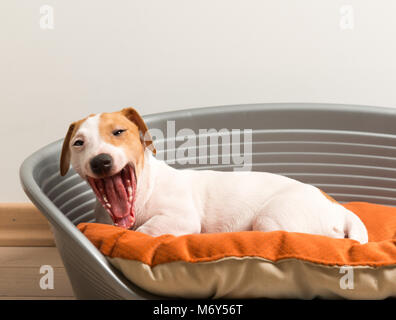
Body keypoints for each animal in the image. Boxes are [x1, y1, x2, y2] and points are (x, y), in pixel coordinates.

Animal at [60, 107, 370, 242]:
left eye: (118, 132)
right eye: (78, 143)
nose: (101, 162)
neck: (144, 191)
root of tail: (340, 209)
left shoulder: (180, 218)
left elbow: (145, 233)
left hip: (272, 219)